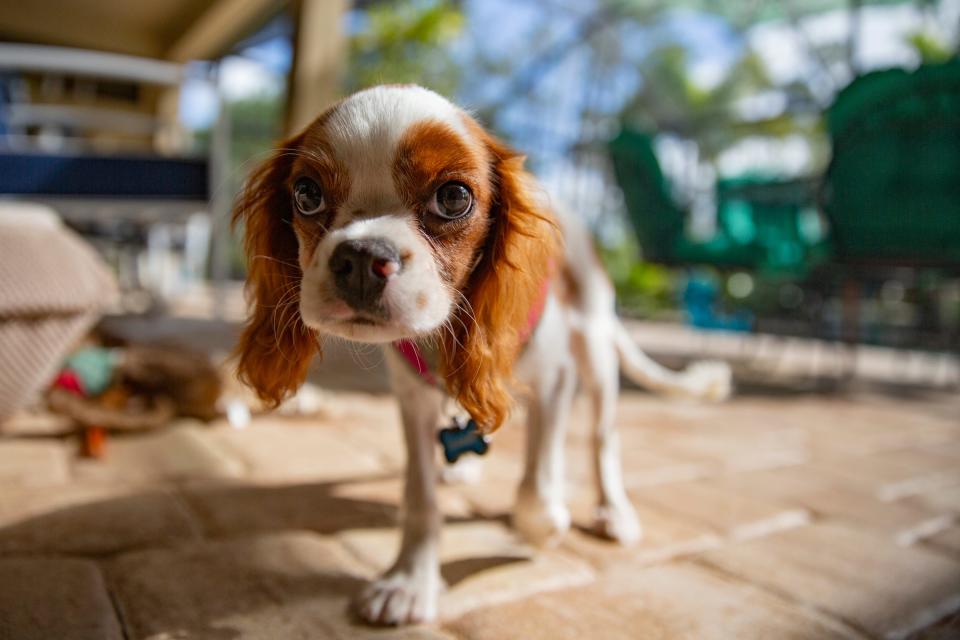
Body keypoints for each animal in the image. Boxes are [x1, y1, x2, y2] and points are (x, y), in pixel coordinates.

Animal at [232, 85, 728, 624]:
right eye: (306, 194)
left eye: (453, 197)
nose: (362, 257)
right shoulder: (413, 396)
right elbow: (419, 494)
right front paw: (409, 580)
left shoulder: (556, 379)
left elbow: (539, 484)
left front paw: (545, 524)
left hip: (596, 348)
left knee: (602, 437)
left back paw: (613, 510)